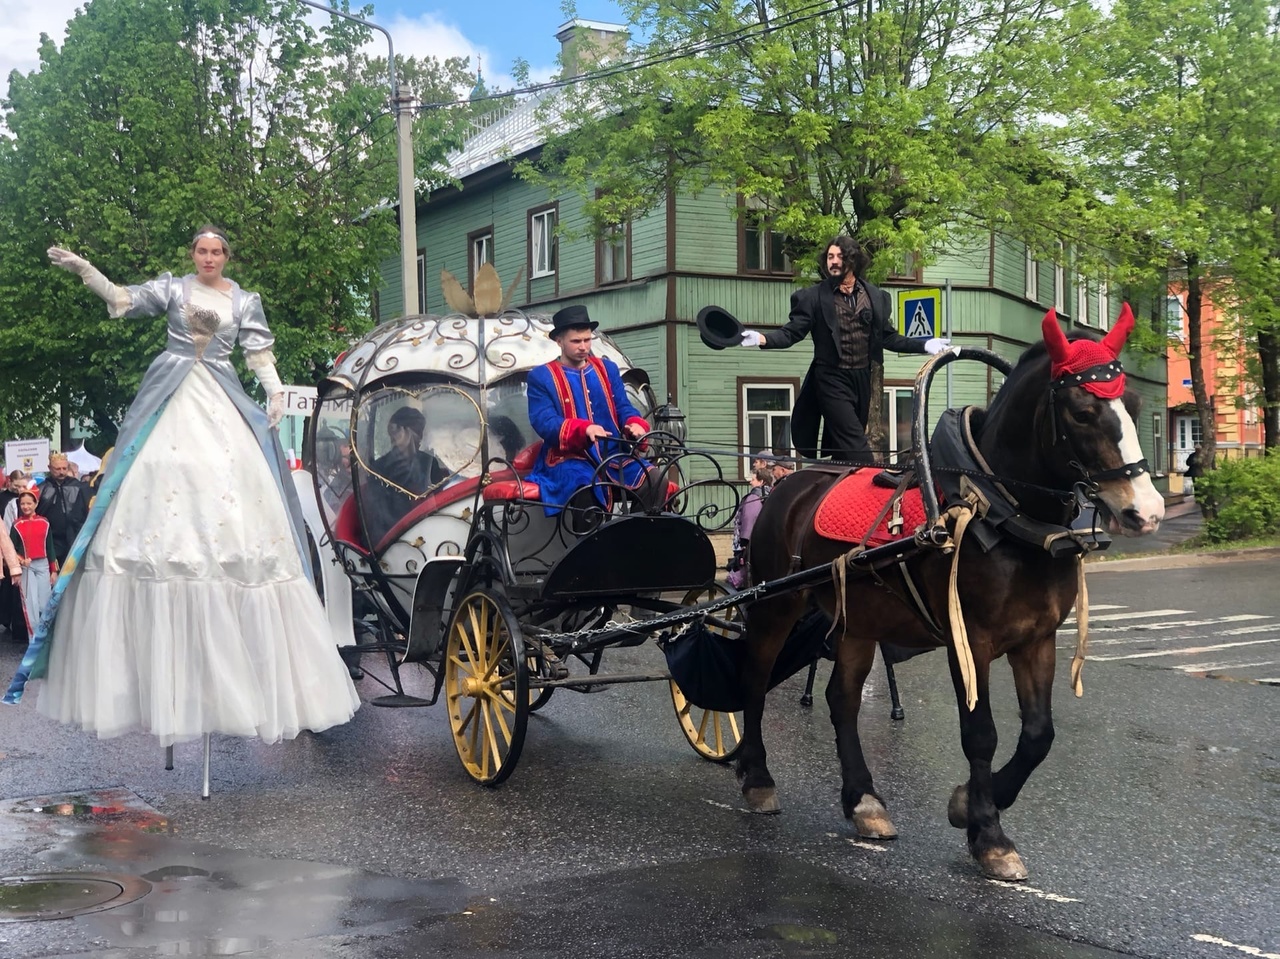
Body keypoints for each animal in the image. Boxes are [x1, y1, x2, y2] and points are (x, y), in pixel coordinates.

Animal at [737, 304, 1167, 875]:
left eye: (1134, 405)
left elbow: (1039, 735)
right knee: (755, 683)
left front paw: (971, 804)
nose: (1146, 511)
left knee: (841, 700)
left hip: (858, 623)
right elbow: (980, 733)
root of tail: (785, 483)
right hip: (774, 608)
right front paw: (989, 834)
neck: (998, 512)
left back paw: (863, 801)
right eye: (1080, 412)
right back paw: (758, 778)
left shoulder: (1037, 640)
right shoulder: (971, 643)